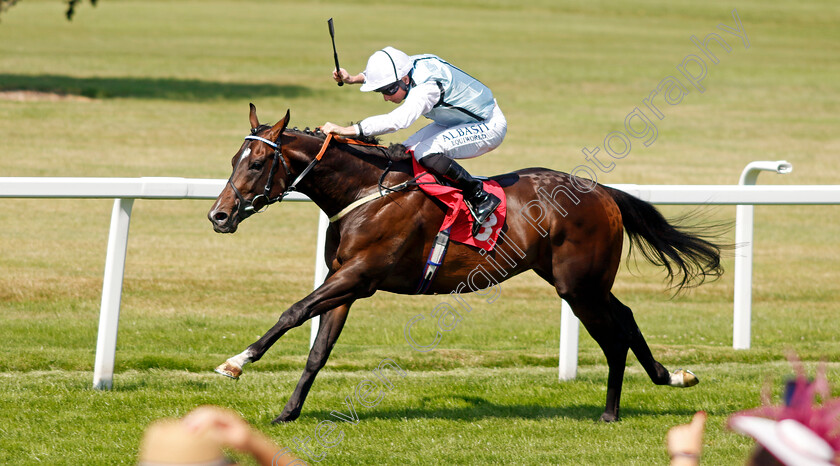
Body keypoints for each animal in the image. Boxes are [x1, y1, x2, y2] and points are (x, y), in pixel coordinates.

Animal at [207, 104, 724, 422]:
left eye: (256, 163)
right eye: (233, 158)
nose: (219, 215)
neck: (366, 191)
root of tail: (602, 192)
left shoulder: (360, 275)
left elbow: (293, 312)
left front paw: (237, 361)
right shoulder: (345, 280)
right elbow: (318, 351)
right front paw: (287, 412)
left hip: (578, 286)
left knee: (613, 337)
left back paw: (613, 410)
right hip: (584, 282)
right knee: (628, 318)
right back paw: (671, 376)